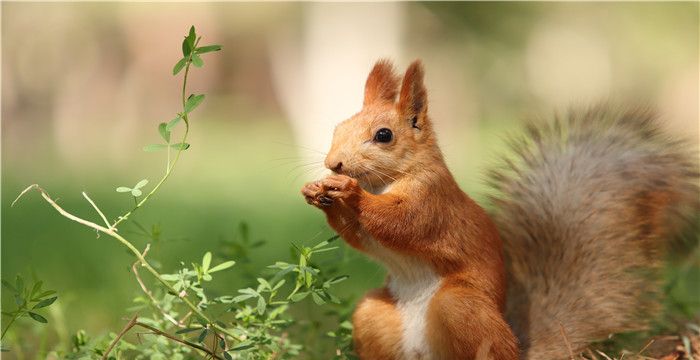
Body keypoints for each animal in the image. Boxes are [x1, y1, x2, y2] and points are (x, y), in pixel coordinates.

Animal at [298, 57, 696, 358]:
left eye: (384, 135)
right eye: (338, 127)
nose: (334, 164)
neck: (388, 181)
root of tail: (519, 350)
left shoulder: (433, 201)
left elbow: (401, 222)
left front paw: (349, 192)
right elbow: (360, 236)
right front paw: (317, 191)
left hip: (461, 307)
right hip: (373, 316)